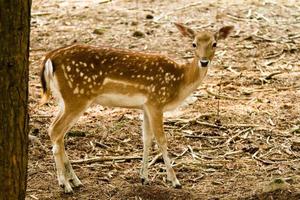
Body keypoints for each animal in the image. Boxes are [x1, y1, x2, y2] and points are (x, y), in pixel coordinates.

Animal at [40, 22, 232, 193]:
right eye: (193, 43)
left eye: (214, 43)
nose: (204, 62)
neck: (179, 82)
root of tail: (50, 57)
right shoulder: (156, 102)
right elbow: (162, 140)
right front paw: (174, 181)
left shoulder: (146, 106)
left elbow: (146, 139)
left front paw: (144, 177)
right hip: (77, 97)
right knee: (56, 131)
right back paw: (65, 185)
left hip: (64, 99)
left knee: (56, 132)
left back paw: (75, 181)